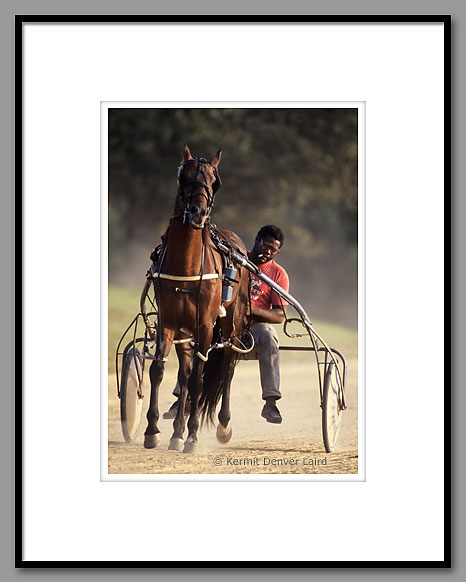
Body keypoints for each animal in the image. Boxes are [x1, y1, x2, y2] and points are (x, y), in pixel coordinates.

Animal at [144, 146, 249, 456]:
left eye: (215, 181)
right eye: (185, 175)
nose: (199, 212)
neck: (186, 264)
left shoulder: (204, 325)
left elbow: (198, 380)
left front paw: (191, 436)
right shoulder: (168, 321)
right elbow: (159, 370)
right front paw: (153, 430)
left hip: (231, 326)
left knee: (226, 368)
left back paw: (222, 425)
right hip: (185, 329)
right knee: (185, 371)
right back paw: (176, 431)